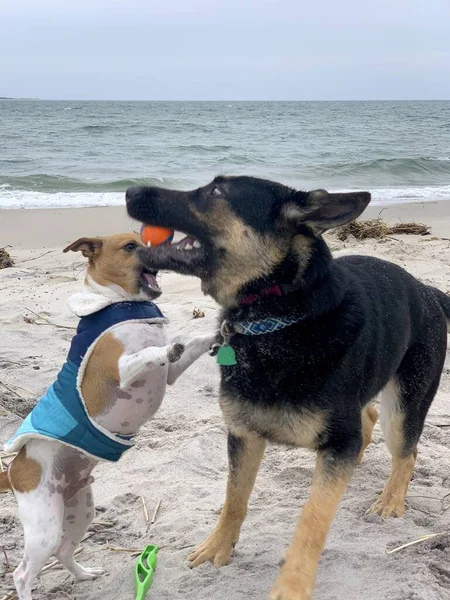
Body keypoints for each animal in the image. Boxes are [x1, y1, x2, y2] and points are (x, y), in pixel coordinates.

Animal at [0, 233, 216, 600]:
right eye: (130, 246)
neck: (120, 304)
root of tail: (13, 469)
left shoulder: (170, 373)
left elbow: (196, 340)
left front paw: (220, 333)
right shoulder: (123, 370)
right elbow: (150, 351)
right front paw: (165, 346)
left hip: (78, 511)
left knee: (63, 551)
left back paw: (85, 575)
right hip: (44, 527)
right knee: (23, 574)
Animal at [125, 176, 448, 596]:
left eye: (216, 191)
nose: (130, 192)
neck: (279, 319)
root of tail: (428, 291)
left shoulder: (335, 444)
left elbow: (312, 519)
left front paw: (292, 585)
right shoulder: (243, 434)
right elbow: (234, 497)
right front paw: (218, 546)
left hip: (405, 407)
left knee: (405, 452)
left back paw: (392, 500)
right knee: (369, 417)